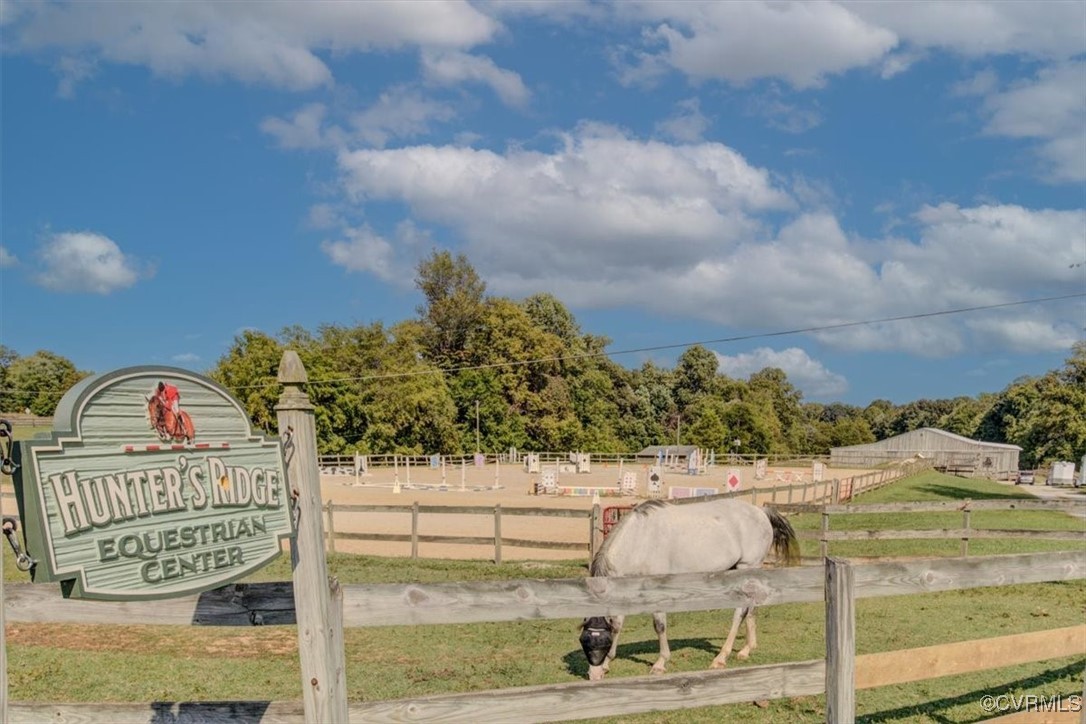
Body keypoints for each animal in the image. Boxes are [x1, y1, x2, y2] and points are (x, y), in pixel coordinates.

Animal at [577, 499, 799, 681]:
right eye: (584, 642)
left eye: (602, 643)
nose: (593, 676)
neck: (640, 539)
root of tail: (760, 511)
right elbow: (618, 624)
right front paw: (608, 664)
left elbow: (659, 625)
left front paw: (660, 663)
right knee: (752, 609)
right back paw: (746, 649)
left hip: (747, 568)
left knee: (740, 611)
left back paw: (721, 657)